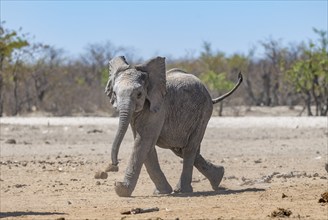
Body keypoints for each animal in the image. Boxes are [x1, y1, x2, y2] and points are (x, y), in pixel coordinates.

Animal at [104, 55, 242, 197]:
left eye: (139, 94)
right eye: (114, 94)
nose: (115, 164)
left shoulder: (158, 108)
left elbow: (143, 142)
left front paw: (120, 189)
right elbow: (147, 146)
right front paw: (161, 192)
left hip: (204, 113)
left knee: (189, 149)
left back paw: (183, 190)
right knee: (182, 150)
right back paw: (218, 177)